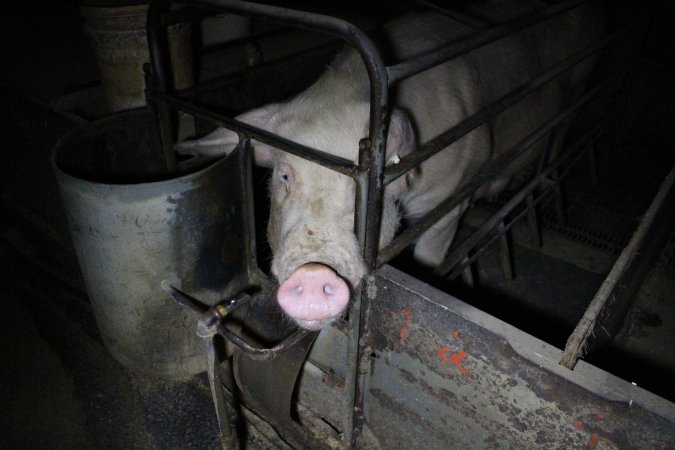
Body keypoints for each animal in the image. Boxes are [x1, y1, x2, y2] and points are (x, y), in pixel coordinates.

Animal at [177, 0, 604, 330]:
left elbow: (431, 255)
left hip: (579, 86)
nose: (313, 273)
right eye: (284, 175)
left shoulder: (450, 199)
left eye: (361, 190)